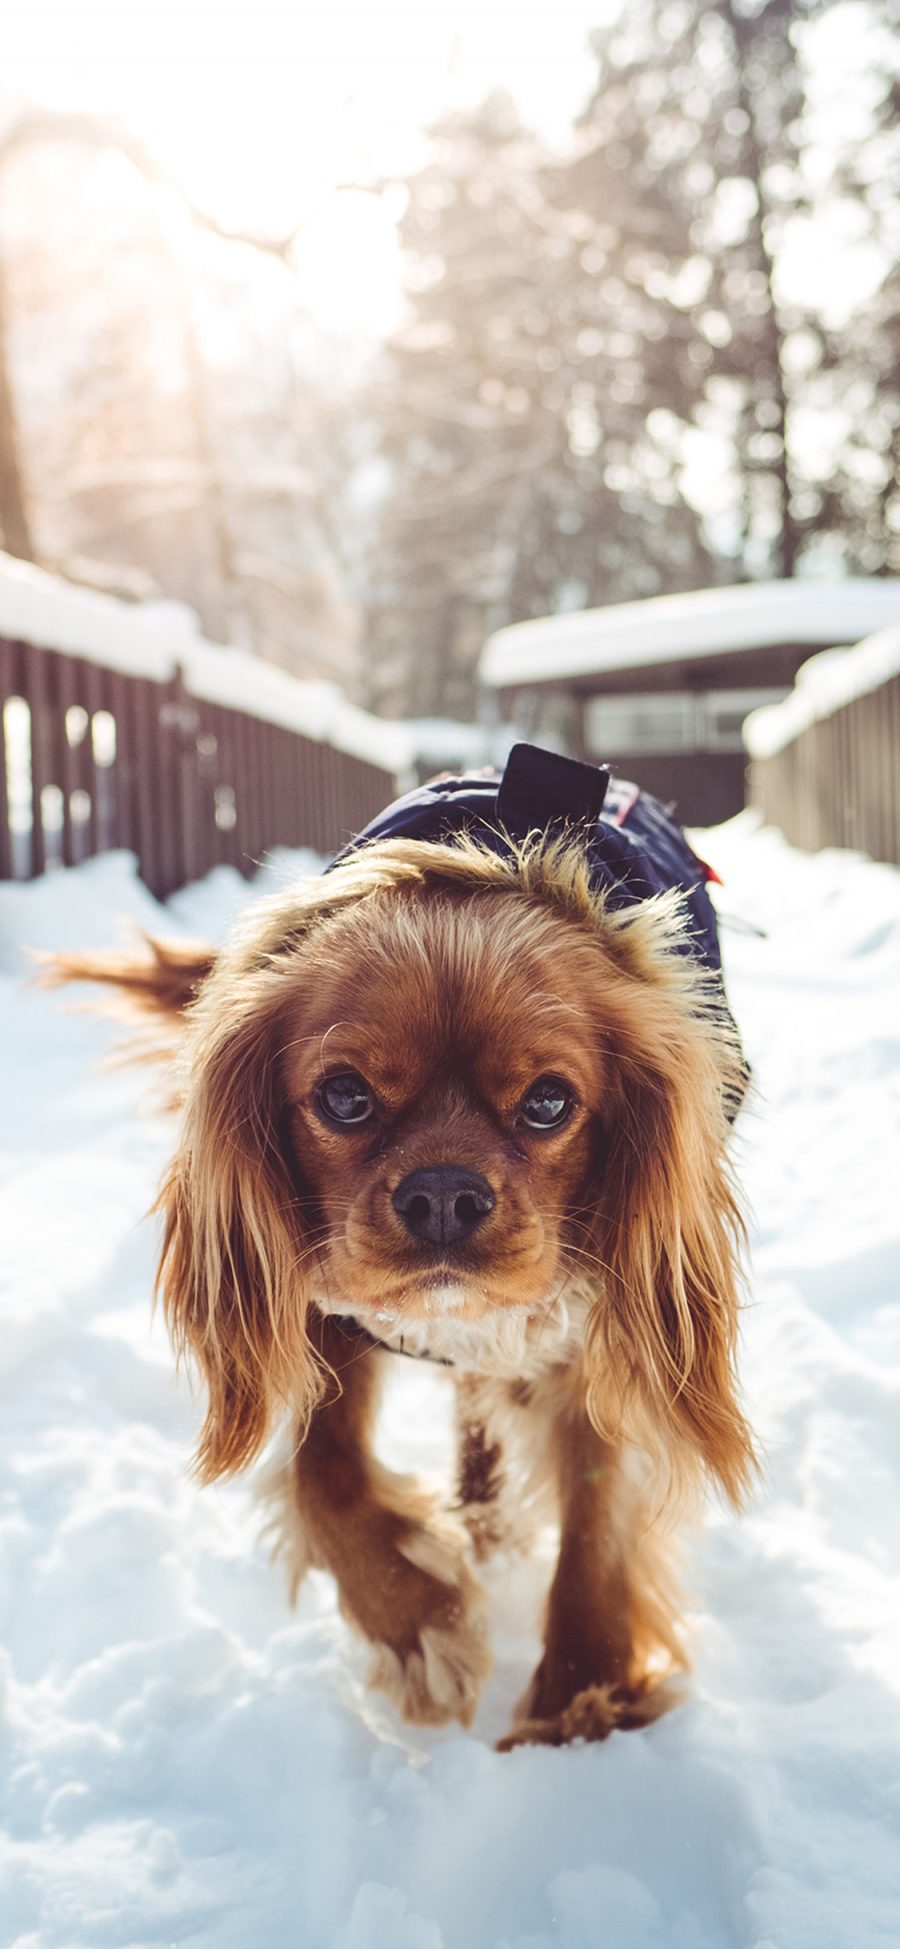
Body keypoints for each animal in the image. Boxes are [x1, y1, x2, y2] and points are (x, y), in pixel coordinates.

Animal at [52, 740, 755, 1738]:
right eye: (344, 1095)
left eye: (550, 1102)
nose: (444, 1194)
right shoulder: (329, 1316)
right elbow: (326, 1477)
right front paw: (420, 1626)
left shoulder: (597, 1333)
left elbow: (597, 1519)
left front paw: (583, 1701)